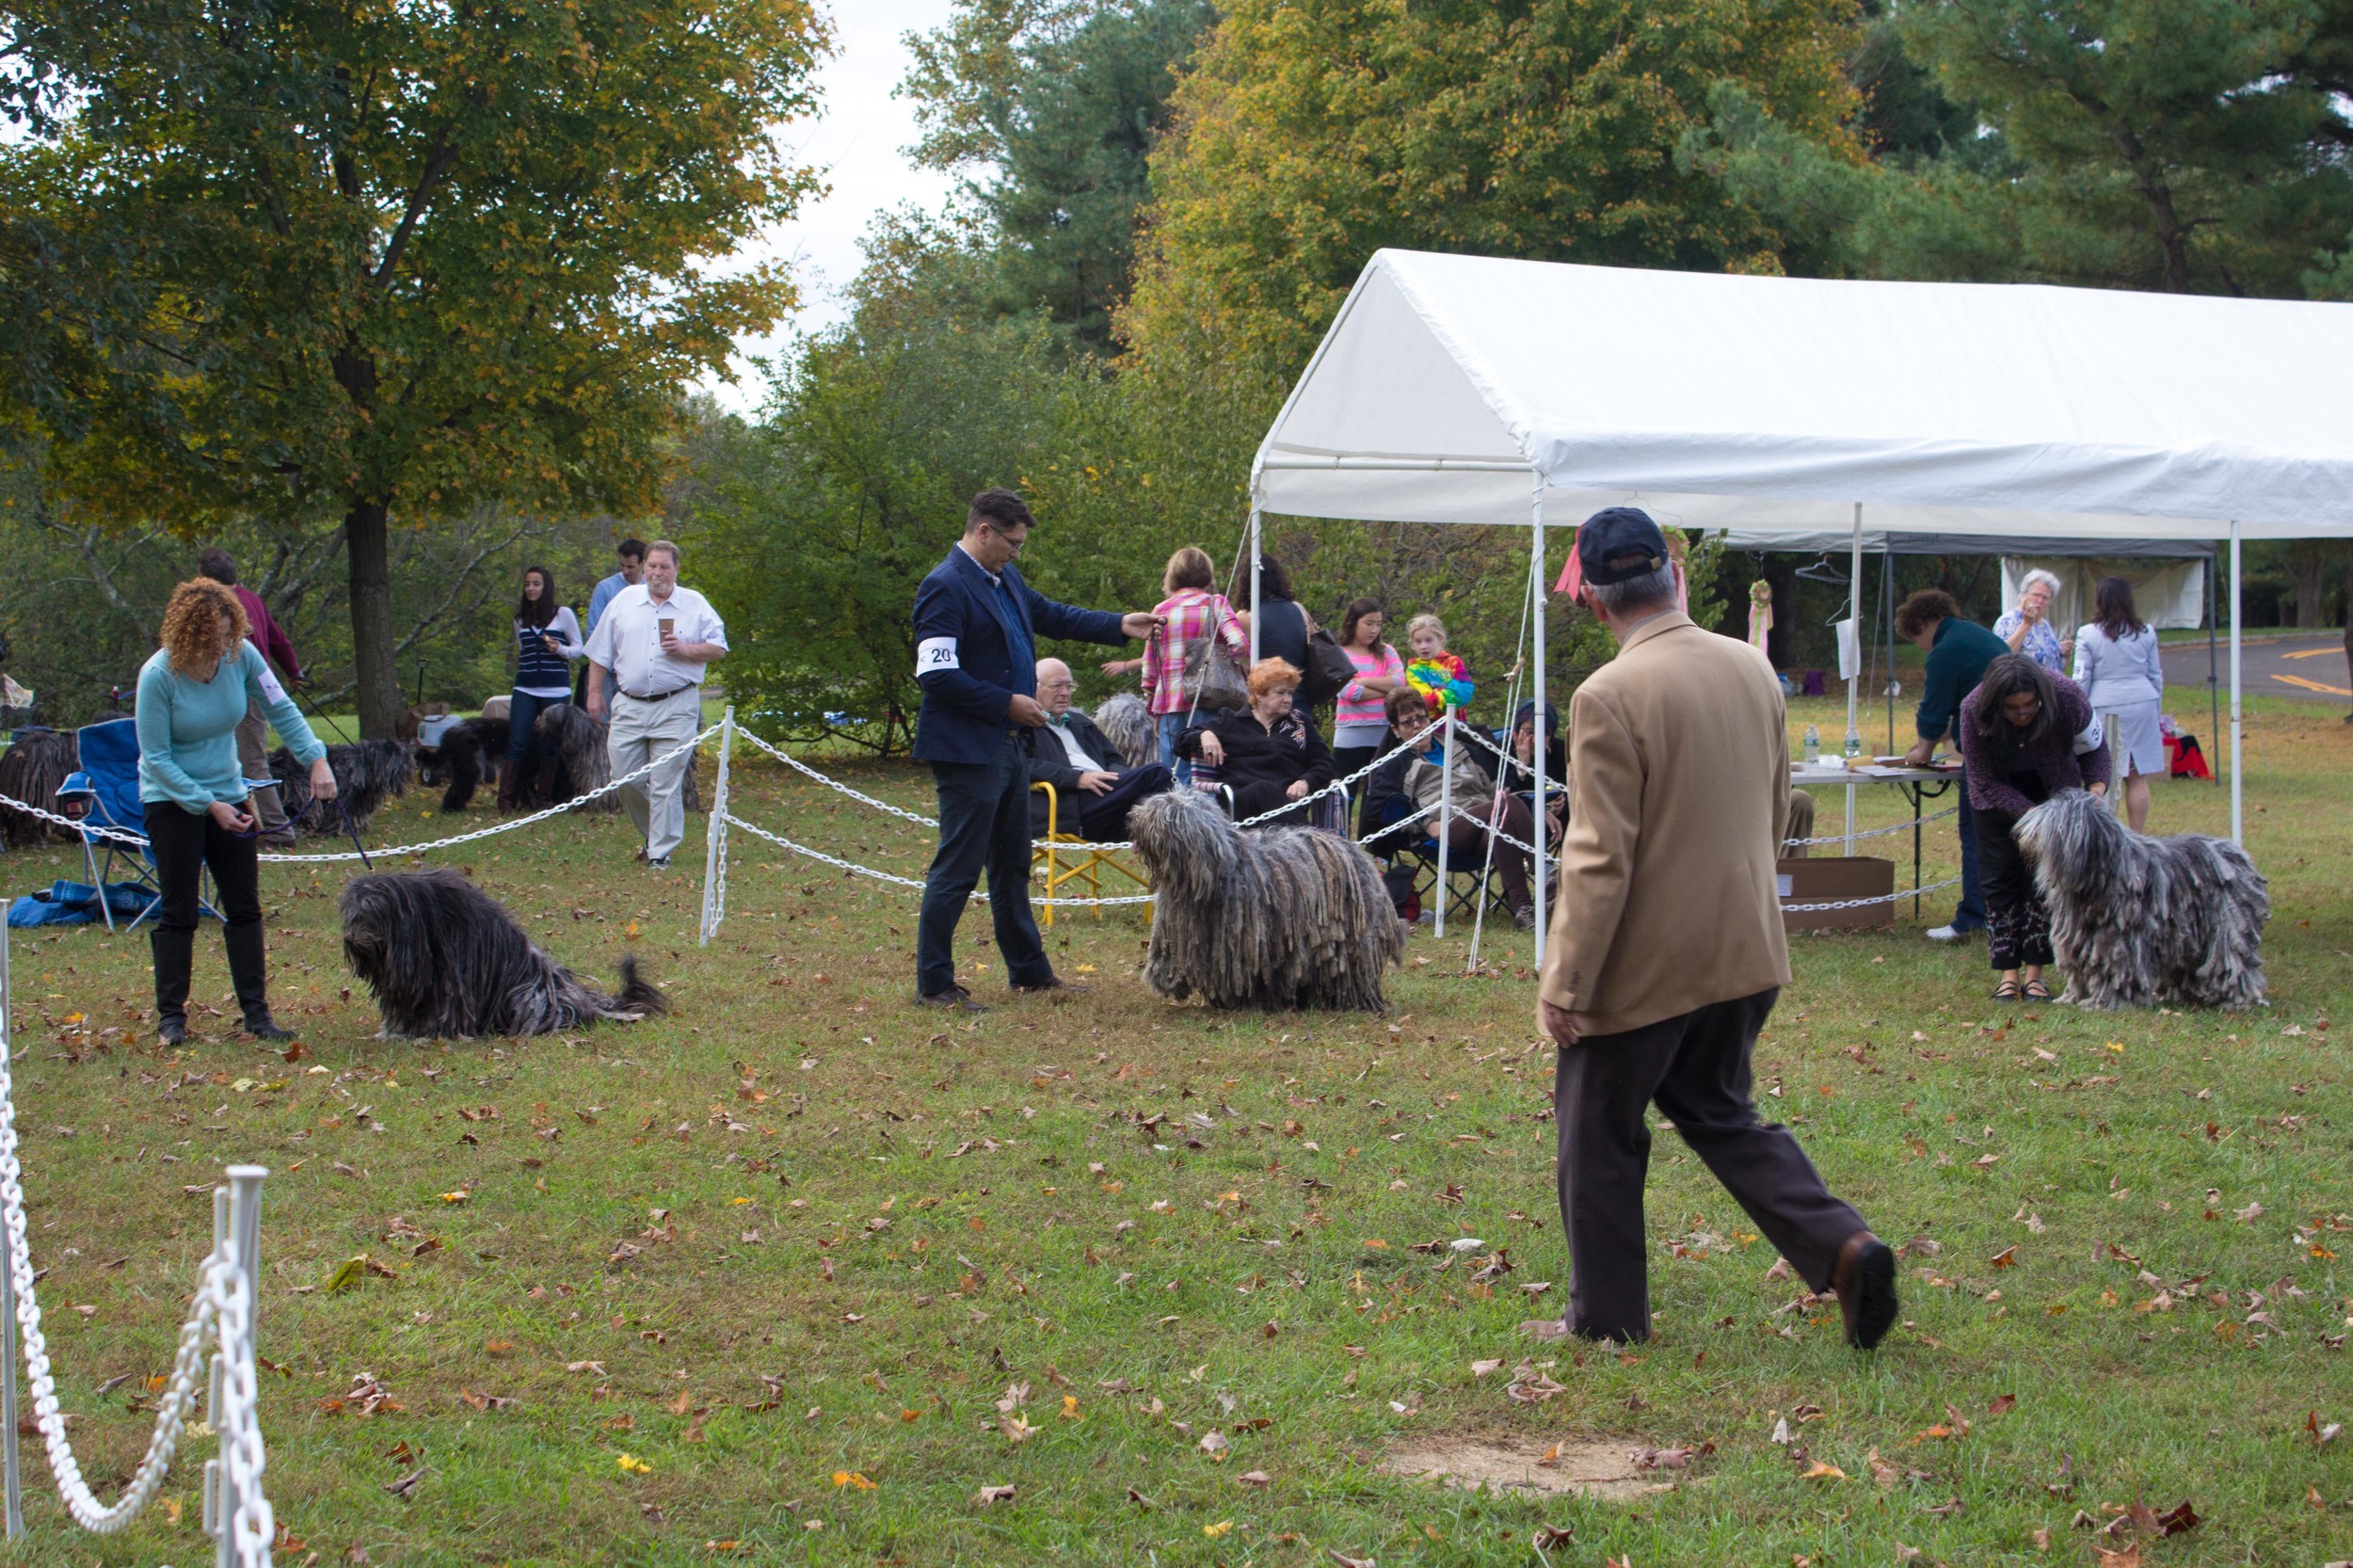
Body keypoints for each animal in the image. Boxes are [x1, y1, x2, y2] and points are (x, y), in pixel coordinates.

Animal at [2014, 786, 2268, 1007]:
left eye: (2046, 824)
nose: (2020, 835)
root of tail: (2237, 855)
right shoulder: (2079, 935)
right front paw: (2071, 998)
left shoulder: (2119, 939)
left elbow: (2118, 969)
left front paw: (2107, 1001)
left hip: (2227, 929)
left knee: (2234, 962)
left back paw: (2237, 1000)